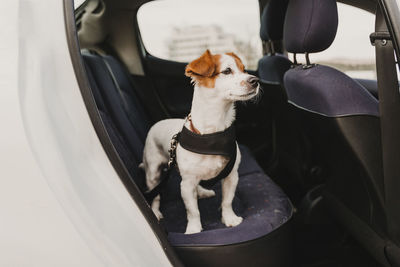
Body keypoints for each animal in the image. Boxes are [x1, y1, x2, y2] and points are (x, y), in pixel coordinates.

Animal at [142, 49, 260, 234]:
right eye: (227, 71)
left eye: (244, 69)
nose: (255, 81)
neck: (213, 134)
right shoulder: (186, 184)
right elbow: (193, 210)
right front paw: (194, 229)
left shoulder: (231, 176)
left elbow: (227, 201)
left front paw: (230, 219)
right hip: (153, 174)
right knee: (155, 195)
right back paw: (155, 212)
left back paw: (202, 192)